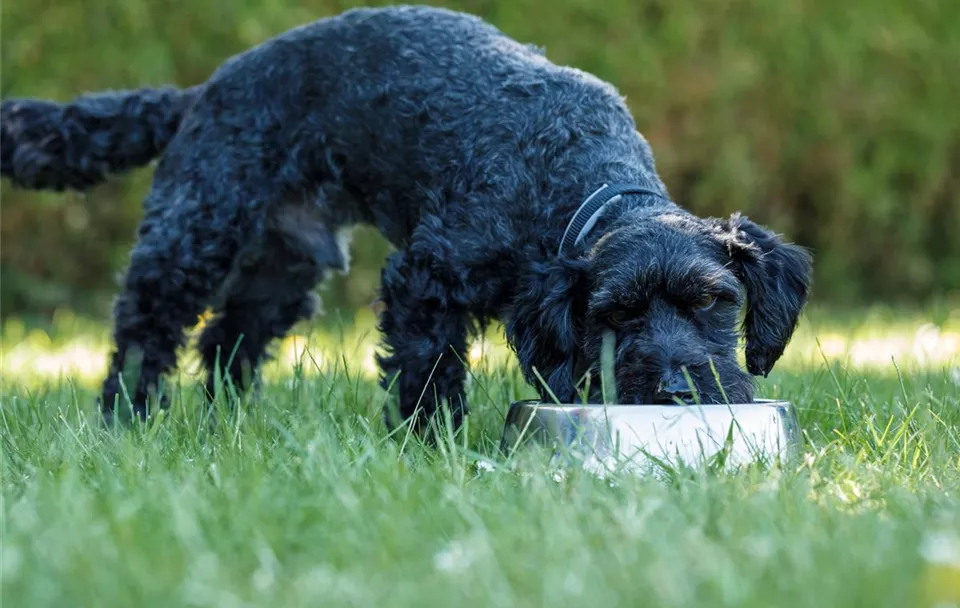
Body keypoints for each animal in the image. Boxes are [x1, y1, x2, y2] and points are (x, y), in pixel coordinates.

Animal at [0, 3, 812, 432]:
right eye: (617, 314)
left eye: (715, 302)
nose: (679, 391)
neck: (576, 174)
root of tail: (202, 91)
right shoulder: (423, 278)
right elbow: (428, 370)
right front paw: (433, 444)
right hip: (194, 231)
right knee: (147, 327)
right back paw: (126, 419)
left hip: (283, 270)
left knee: (229, 341)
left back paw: (231, 419)